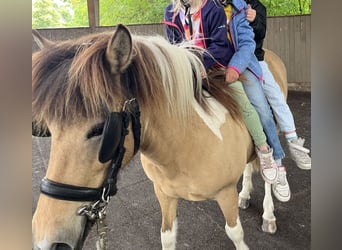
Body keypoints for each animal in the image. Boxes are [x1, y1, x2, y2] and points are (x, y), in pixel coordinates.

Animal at [32, 23, 286, 250]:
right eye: (48, 129)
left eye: (100, 130)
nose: (46, 241)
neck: (185, 145)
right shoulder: (164, 194)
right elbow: (167, 236)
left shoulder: (225, 193)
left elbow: (235, 233)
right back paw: (245, 194)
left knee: (270, 166)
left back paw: (269, 214)